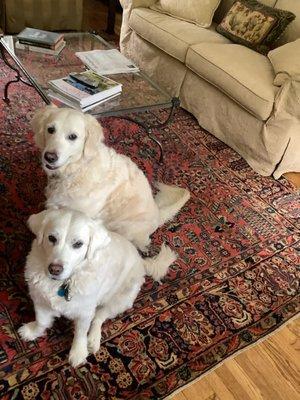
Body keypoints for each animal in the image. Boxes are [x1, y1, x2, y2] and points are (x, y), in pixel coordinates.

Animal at [18, 208, 176, 368]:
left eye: (78, 244)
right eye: (51, 238)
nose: (54, 269)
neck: (64, 282)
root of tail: (141, 260)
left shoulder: (84, 311)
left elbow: (81, 332)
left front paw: (78, 353)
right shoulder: (40, 300)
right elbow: (41, 321)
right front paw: (32, 331)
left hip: (120, 301)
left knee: (99, 317)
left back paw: (93, 340)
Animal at [31, 105, 190, 250]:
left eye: (72, 136)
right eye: (50, 129)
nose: (49, 157)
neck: (78, 169)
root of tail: (157, 213)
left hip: (125, 228)